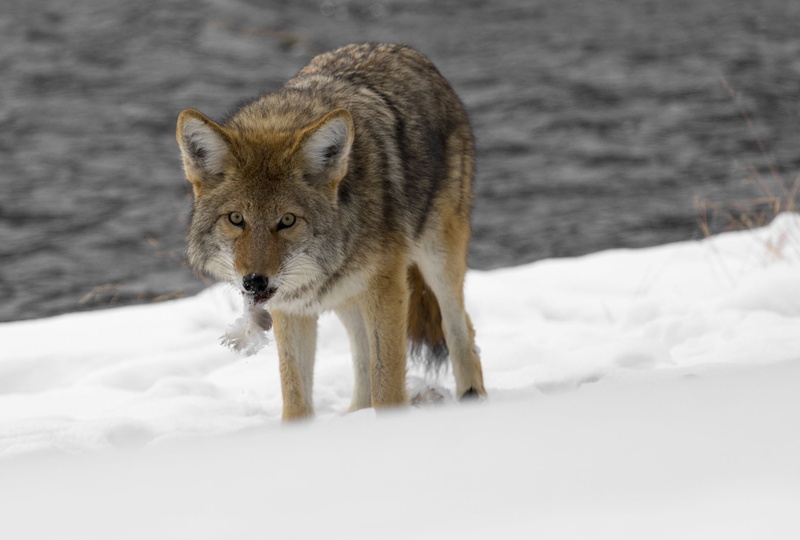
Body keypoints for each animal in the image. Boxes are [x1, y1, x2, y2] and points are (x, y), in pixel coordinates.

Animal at [176, 43, 486, 420]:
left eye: (288, 220)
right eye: (236, 219)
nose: (254, 282)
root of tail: (398, 48)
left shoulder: (388, 289)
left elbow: (388, 386)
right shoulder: (292, 308)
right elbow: (296, 397)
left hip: (436, 261)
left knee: (460, 330)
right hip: (349, 299)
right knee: (362, 356)